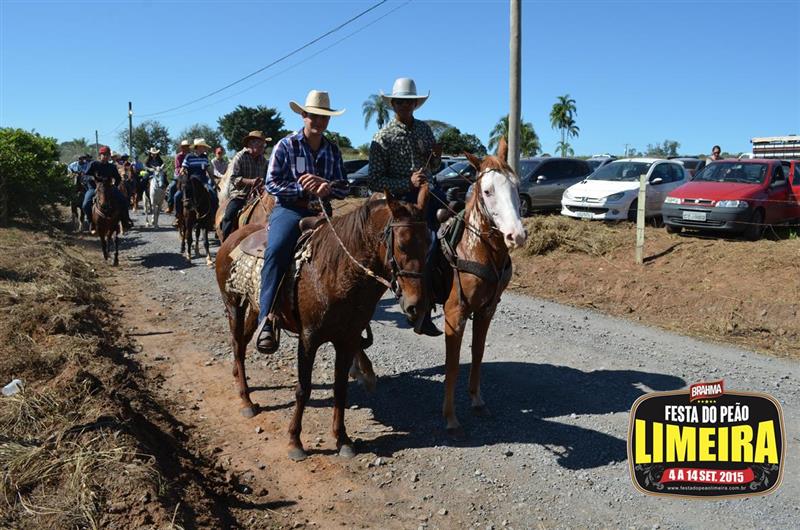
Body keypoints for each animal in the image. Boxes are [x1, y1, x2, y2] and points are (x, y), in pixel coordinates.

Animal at [215, 188, 430, 460]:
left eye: (429, 244)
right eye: (401, 244)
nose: (416, 306)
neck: (335, 273)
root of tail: (233, 237)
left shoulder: (347, 340)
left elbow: (340, 387)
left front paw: (343, 439)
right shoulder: (309, 338)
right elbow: (303, 388)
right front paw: (294, 441)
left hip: (255, 308)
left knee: (243, 342)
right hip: (233, 304)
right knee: (237, 345)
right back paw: (246, 400)